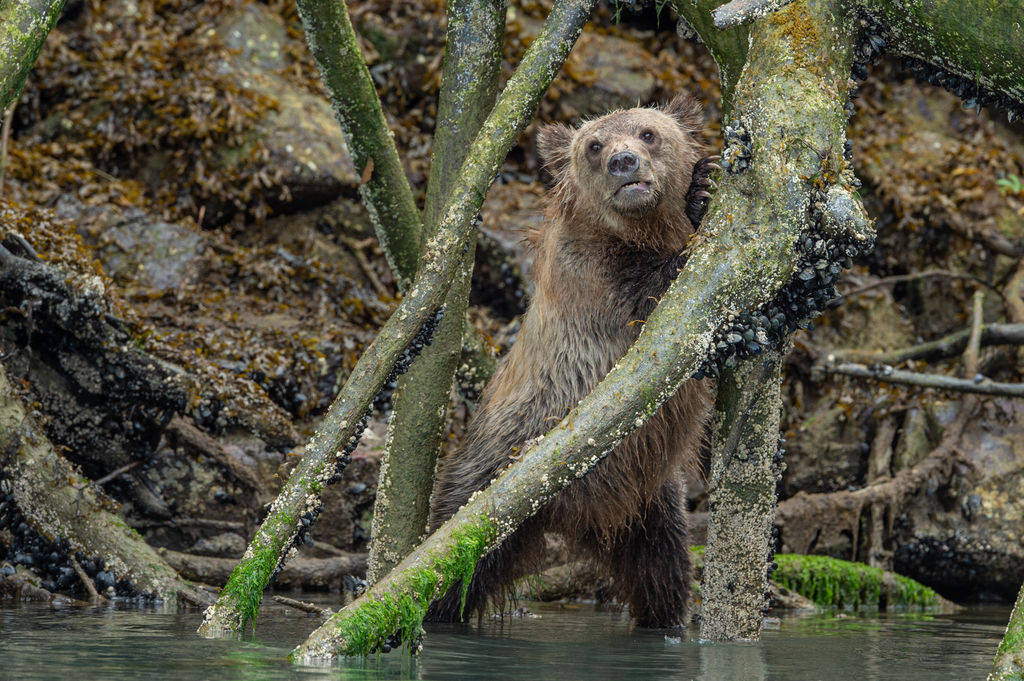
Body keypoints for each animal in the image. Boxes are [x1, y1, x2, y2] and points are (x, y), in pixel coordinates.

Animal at [427, 93, 716, 628]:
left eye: (648, 132)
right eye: (594, 145)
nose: (623, 163)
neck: (636, 231)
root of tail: (572, 515)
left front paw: (702, 186)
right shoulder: (595, 278)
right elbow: (657, 293)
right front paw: (698, 206)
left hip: (647, 499)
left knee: (664, 571)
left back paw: (665, 620)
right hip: (488, 475)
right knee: (446, 569)